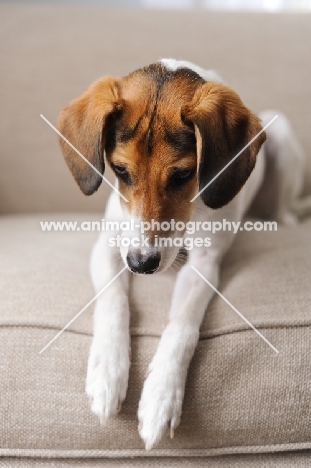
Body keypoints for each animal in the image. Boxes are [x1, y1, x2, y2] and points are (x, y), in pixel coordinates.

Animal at [57, 58, 306, 450]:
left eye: (183, 175)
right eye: (120, 171)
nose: (141, 264)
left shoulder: (204, 265)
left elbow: (182, 326)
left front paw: (161, 394)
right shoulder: (109, 246)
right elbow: (113, 303)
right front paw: (108, 371)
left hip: (278, 129)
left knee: (284, 214)